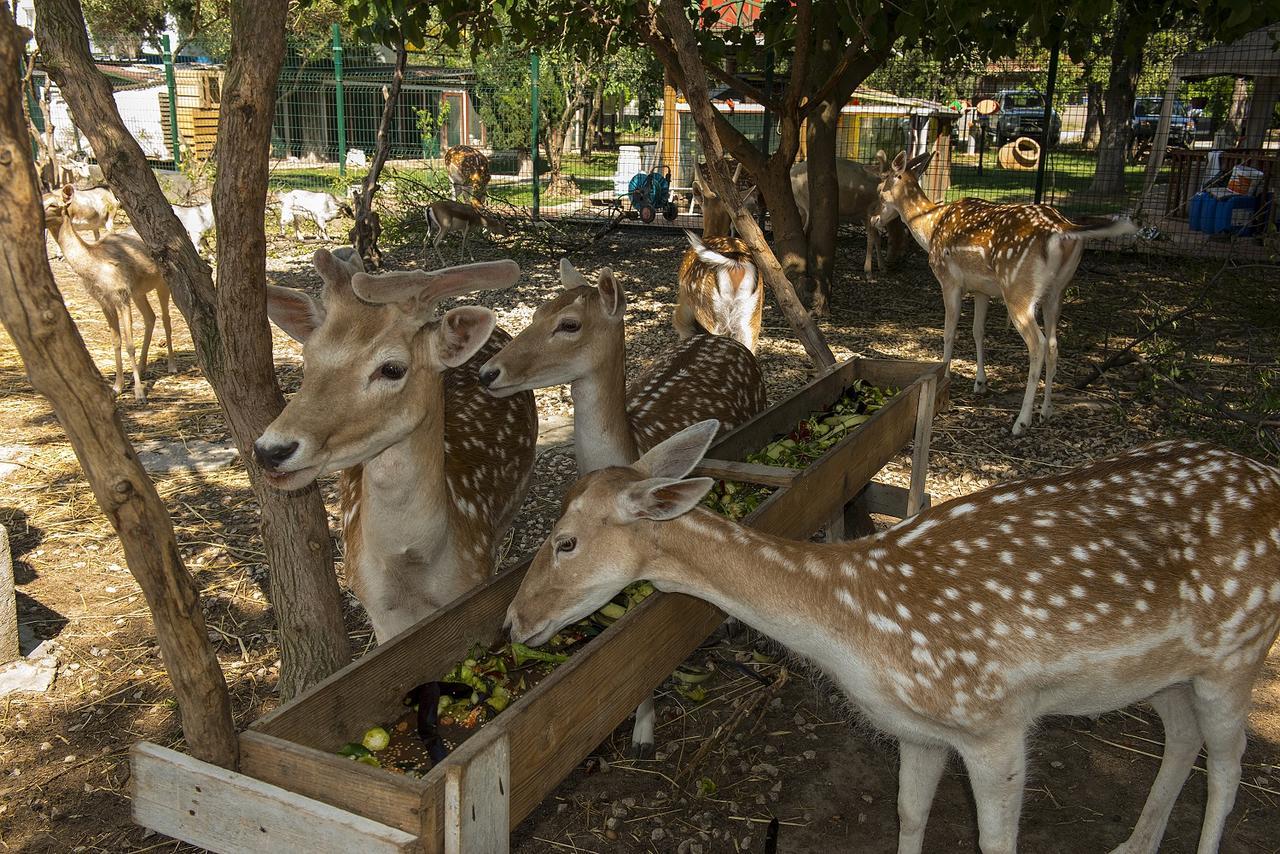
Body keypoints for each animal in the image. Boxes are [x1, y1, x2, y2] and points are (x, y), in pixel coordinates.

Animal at [42, 197, 175, 404]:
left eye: (53, 204)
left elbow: (130, 345)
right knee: (150, 317)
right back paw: (142, 368)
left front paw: (139, 394)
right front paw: (117, 387)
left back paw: (171, 366)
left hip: (163, 283)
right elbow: (116, 341)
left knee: (166, 318)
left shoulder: (121, 296)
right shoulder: (104, 302)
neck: (96, 268)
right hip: (138, 291)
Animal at [257, 252, 537, 640]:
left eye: (391, 368)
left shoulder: (472, 586)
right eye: (307, 360)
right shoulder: (376, 608)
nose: (270, 450)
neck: (411, 571)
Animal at [476, 258, 762, 752]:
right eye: (537, 311)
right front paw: (641, 726)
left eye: (569, 324)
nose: (488, 373)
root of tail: (727, 336)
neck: (637, 443)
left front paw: (644, 736)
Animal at [506, 419, 1280, 854]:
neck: (858, 631)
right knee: (1182, 736)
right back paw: (1134, 843)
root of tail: (1268, 475)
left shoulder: (993, 721)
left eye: (565, 541)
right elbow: (907, 817)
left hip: (1239, 650)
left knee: (1231, 768)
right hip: (1165, 672)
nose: (512, 621)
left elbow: (995, 842)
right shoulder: (918, 730)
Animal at [875, 147, 1136, 437]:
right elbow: (978, 331)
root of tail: (1064, 230)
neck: (930, 227)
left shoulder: (949, 280)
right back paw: (1046, 411)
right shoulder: (982, 290)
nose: (875, 219)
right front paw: (980, 383)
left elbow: (949, 331)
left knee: (1038, 344)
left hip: (1018, 290)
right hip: (1056, 292)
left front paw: (946, 375)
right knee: (1054, 344)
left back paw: (1021, 421)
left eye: (879, 189)